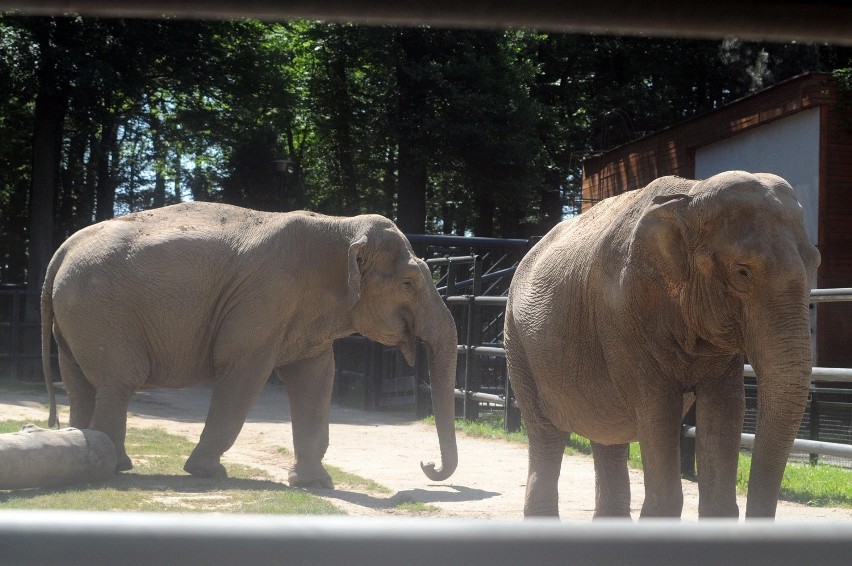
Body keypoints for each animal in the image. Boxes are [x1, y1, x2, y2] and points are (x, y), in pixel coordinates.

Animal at [41, 203, 460, 488]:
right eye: (408, 283)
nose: (427, 465)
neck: (339, 226)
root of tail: (62, 250)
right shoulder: (265, 298)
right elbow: (245, 371)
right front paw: (207, 472)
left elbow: (316, 377)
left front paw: (315, 483)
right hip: (98, 312)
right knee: (119, 381)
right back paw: (114, 466)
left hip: (76, 318)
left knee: (80, 384)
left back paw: (94, 457)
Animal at [506, 172, 820, 520]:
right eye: (742, 272)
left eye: (816, 263)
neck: (691, 195)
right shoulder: (622, 315)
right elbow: (657, 407)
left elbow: (726, 406)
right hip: (517, 343)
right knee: (546, 433)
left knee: (609, 434)